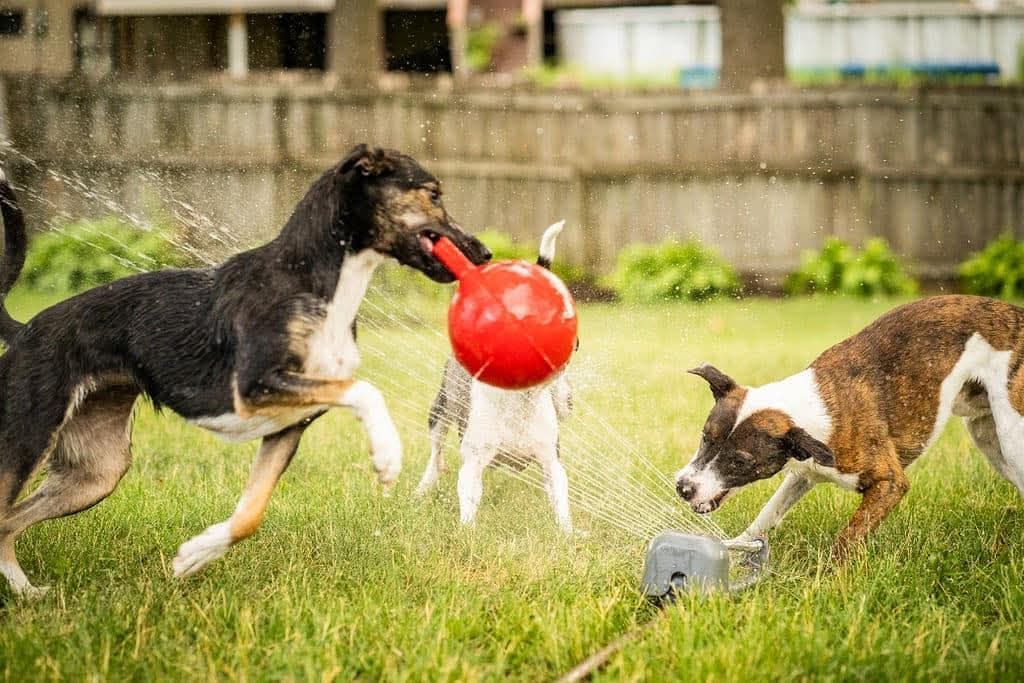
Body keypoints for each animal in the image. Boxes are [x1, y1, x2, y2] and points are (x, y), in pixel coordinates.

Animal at [0, 145, 491, 598]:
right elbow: (365, 389)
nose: (483, 253)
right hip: (27, 439)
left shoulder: (290, 423)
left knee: (8, 521)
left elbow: (251, 514)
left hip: (98, 470)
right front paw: (387, 454)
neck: (315, 283)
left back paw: (25, 593)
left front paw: (195, 554)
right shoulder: (256, 386)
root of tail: (23, 330)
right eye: (433, 194)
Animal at [675, 296, 1024, 565]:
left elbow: (849, 535)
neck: (807, 409)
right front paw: (738, 551)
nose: (683, 488)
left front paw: (830, 576)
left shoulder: (889, 482)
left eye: (740, 461)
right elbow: (768, 514)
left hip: (1011, 436)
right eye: (706, 438)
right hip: (988, 438)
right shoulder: (802, 473)